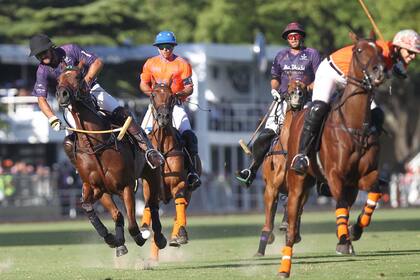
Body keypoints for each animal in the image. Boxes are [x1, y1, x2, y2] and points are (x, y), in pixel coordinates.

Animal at [56, 62, 167, 258]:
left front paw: (140, 236)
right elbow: (96, 209)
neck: (96, 145)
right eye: (58, 79)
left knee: (153, 206)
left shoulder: (125, 186)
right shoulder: (98, 189)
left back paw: (159, 238)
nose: (62, 94)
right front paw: (114, 240)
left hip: (152, 175)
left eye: (78, 76)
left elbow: (132, 224)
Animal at [139, 83, 202, 258]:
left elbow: (179, 204)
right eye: (153, 95)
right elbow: (148, 206)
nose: (163, 117)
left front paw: (180, 234)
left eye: (172, 96)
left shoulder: (179, 184)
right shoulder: (147, 186)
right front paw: (144, 228)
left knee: (181, 208)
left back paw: (176, 236)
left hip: (190, 190)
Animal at [254, 78, 310, 256]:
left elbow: (295, 212)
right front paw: (262, 247)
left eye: (303, 88)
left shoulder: (301, 189)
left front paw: (290, 231)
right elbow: (268, 220)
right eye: (290, 88)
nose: (297, 97)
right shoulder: (271, 189)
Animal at [278, 35, 386, 278]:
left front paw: (354, 230)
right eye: (358, 50)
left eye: (379, 50)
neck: (355, 126)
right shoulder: (335, 175)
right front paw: (345, 239)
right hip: (297, 180)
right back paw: (285, 263)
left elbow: (374, 193)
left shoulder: (364, 175)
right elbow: (340, 205)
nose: (379, 72)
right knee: (292, 217)